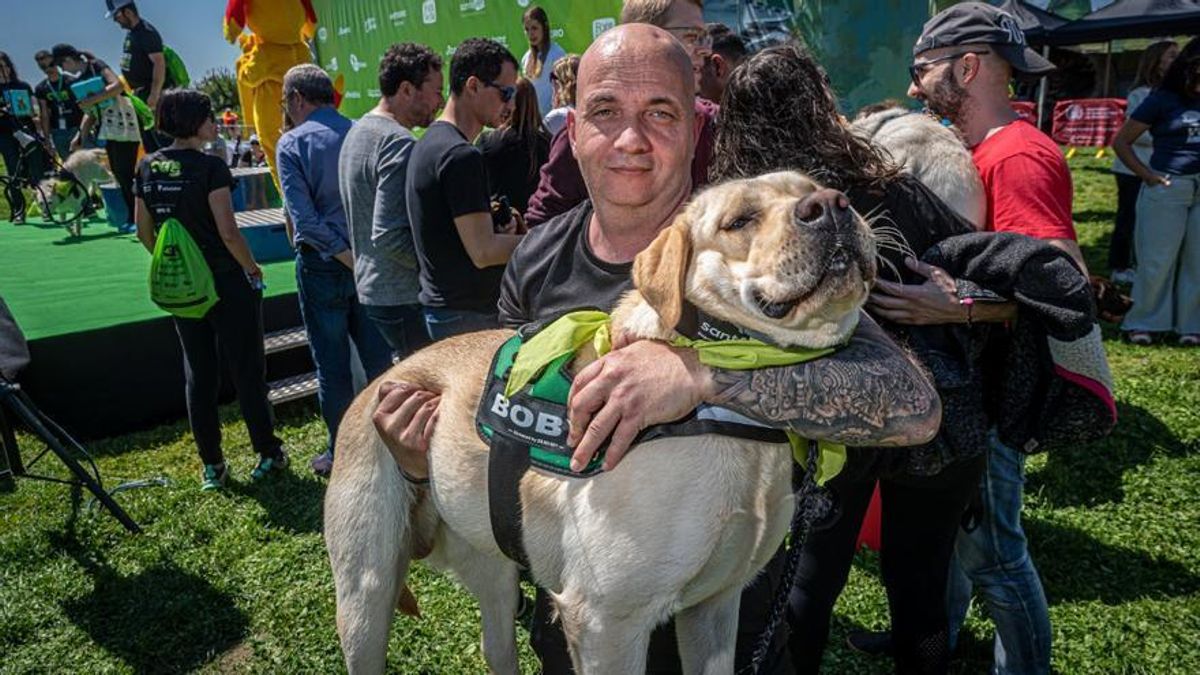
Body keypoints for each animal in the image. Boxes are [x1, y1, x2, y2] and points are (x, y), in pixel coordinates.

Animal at [324, 170, 878, 667]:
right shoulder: (607, 623)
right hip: (365, 597)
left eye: (821, 189)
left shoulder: (715, 607)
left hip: (493, 570)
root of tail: (378, 380)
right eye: (739, 220)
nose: (833, 205)